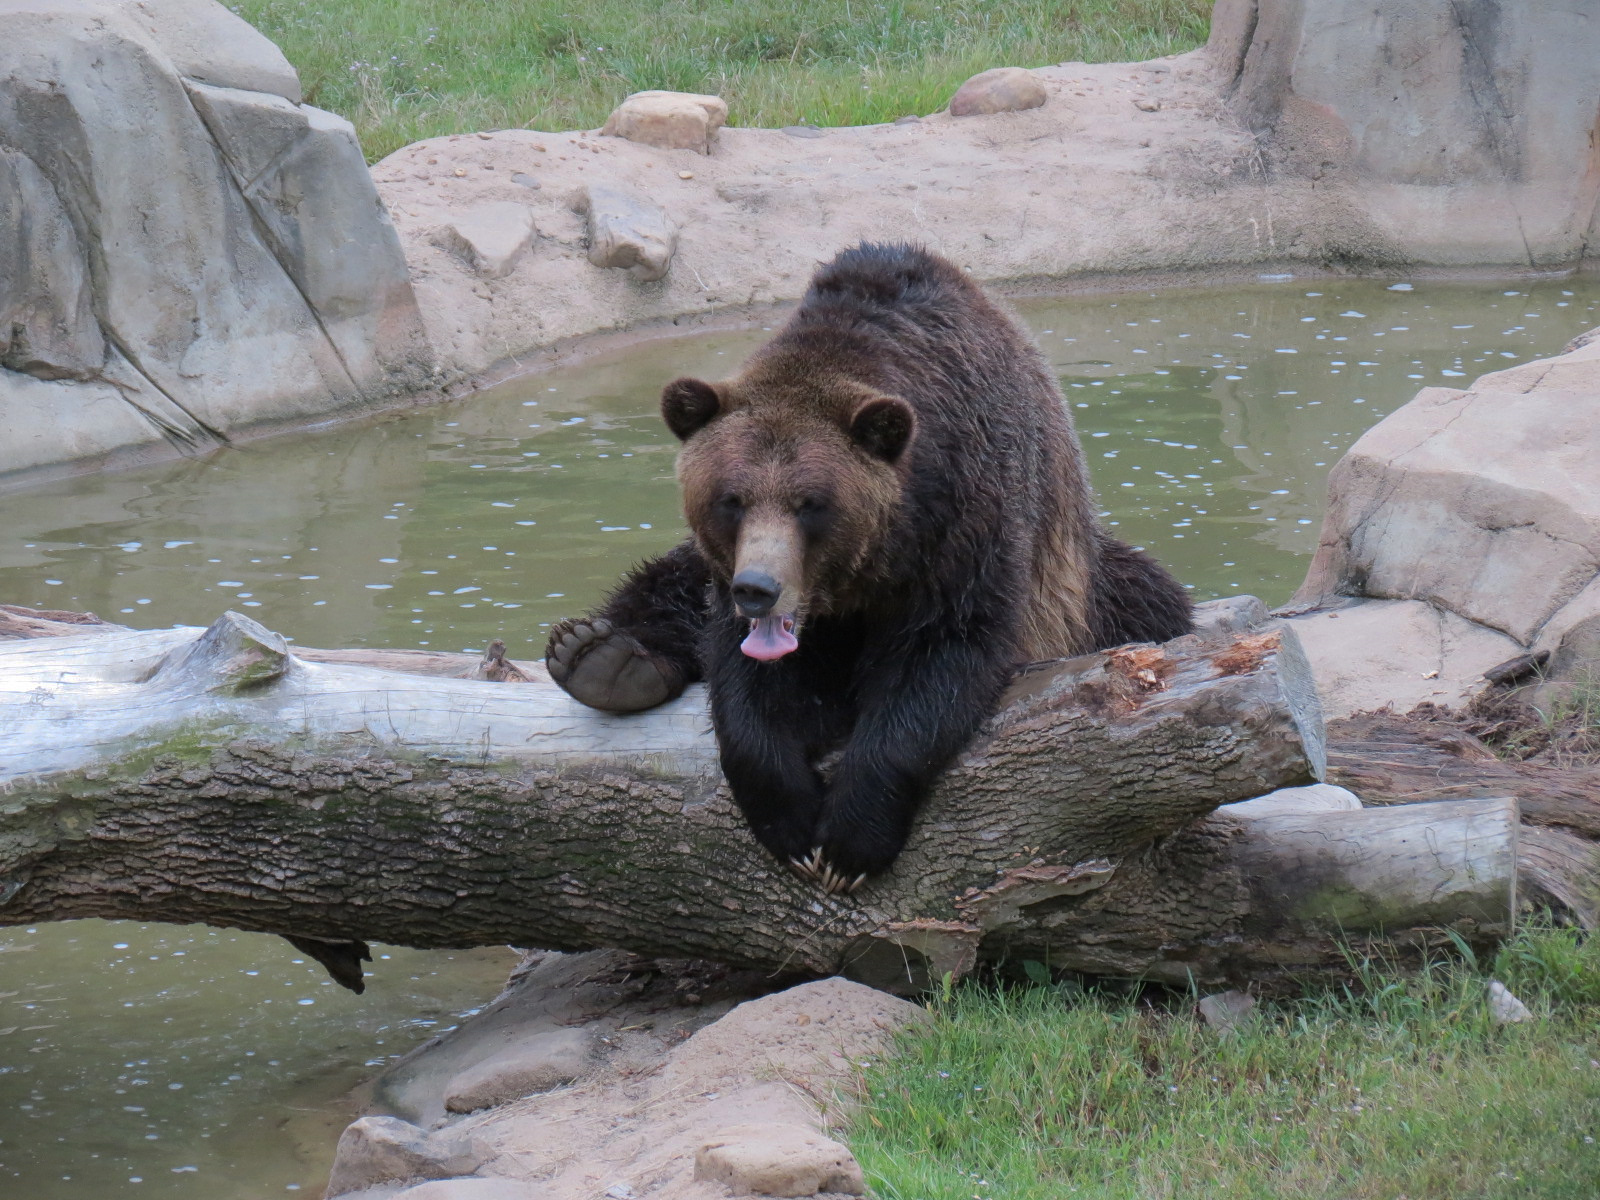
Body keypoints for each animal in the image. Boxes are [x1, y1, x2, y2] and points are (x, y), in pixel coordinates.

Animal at [546, 243, 1192, 892]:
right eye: (731, 499)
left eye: (811, 503)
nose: (759, 589)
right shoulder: (733, 582)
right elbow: (748, 680)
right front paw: (790, 823)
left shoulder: (966, 524)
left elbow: (940, 657)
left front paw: (848, 845)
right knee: (662, 584)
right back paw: (600, 657)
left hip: (1088, 585)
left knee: (1148, 598)